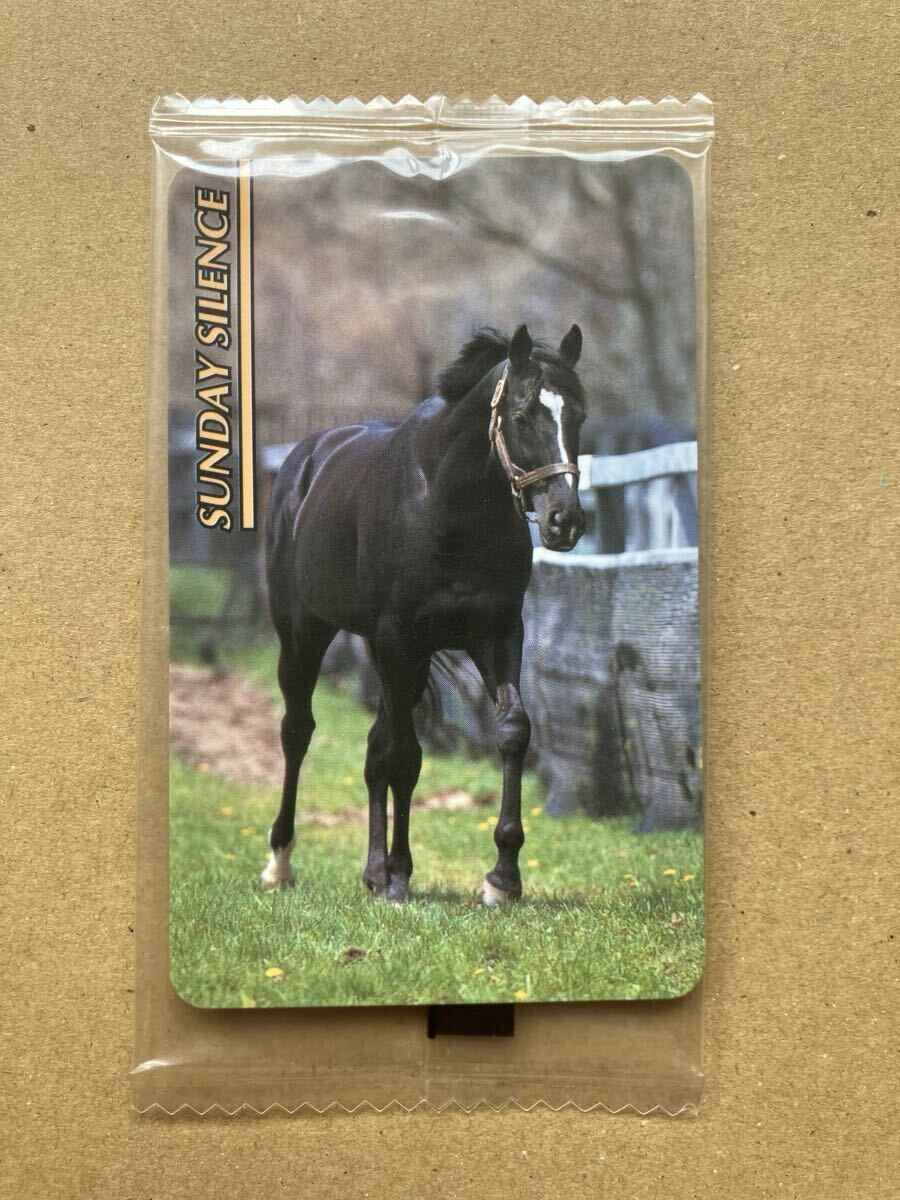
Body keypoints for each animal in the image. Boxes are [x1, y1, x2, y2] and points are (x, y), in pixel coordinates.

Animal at [261, 323, 587, 904]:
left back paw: (372, 871)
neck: (446, 500)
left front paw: (502, 878)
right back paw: (283, 863)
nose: (563, 520)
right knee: (299, 731)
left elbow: (512, 730)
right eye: (522, 414)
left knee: (375, 749)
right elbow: (406, 758)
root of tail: (303, 462)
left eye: (580, 416)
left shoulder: (497, 633)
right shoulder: (400, 638)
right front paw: (400, 876)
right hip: (304, 635)